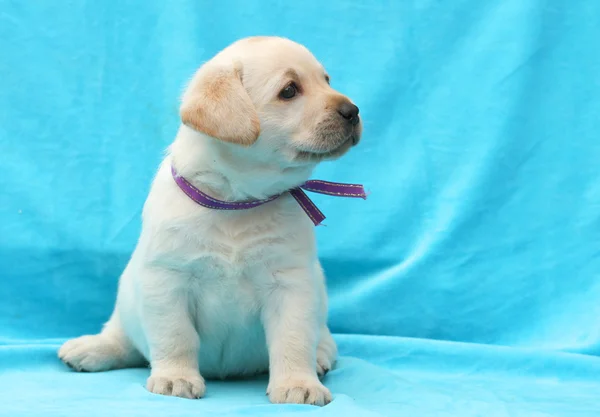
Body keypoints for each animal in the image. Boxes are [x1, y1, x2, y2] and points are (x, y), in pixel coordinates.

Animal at [58, 37, 364, 404]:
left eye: (327, 80)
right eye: (289, 90)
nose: (353, 111)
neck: (236, 203)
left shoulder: (292, 284)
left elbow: (293, 339)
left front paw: (297, 384)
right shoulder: (167, 279)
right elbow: (175, 336)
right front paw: (175, 377)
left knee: (323, 340)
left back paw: (319, 360)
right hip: (128, 296)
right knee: (123, 338)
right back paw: (90, 348)